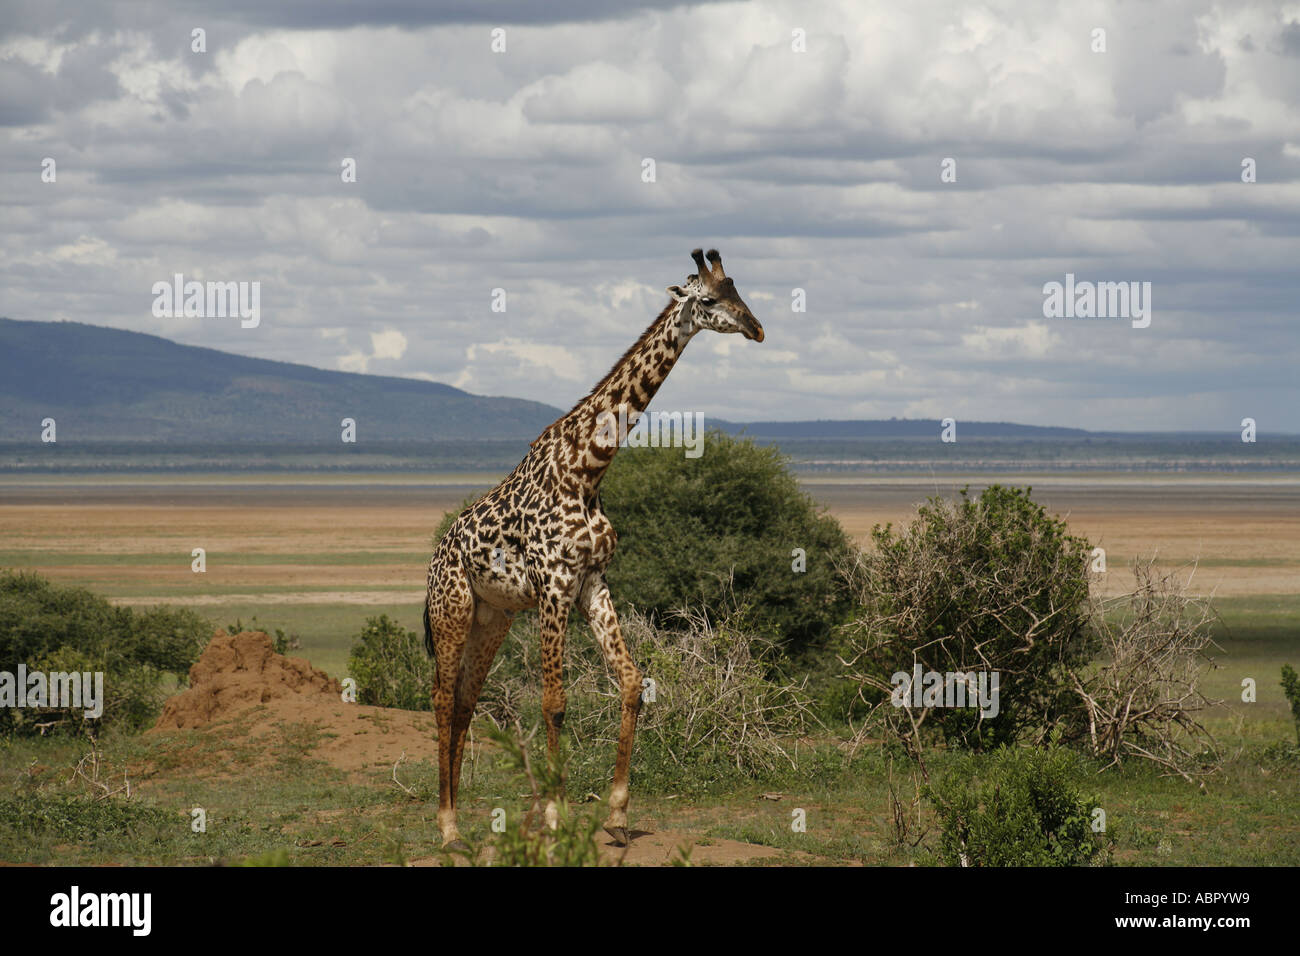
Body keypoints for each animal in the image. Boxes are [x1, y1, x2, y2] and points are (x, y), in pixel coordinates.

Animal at [426, 248, 759, 853]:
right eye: (707, 299)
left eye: (740, 292)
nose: (756, 328)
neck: (589, 469)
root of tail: (434, 559)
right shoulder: (554, 585)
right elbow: (555, 703)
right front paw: (557, 818)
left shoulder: (592, 583)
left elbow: (631, 683)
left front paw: (618, 815)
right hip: (453, 610)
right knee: (441, 698)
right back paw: (448, 828)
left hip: (493, 617)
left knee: (463, 698)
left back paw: (458, 817)